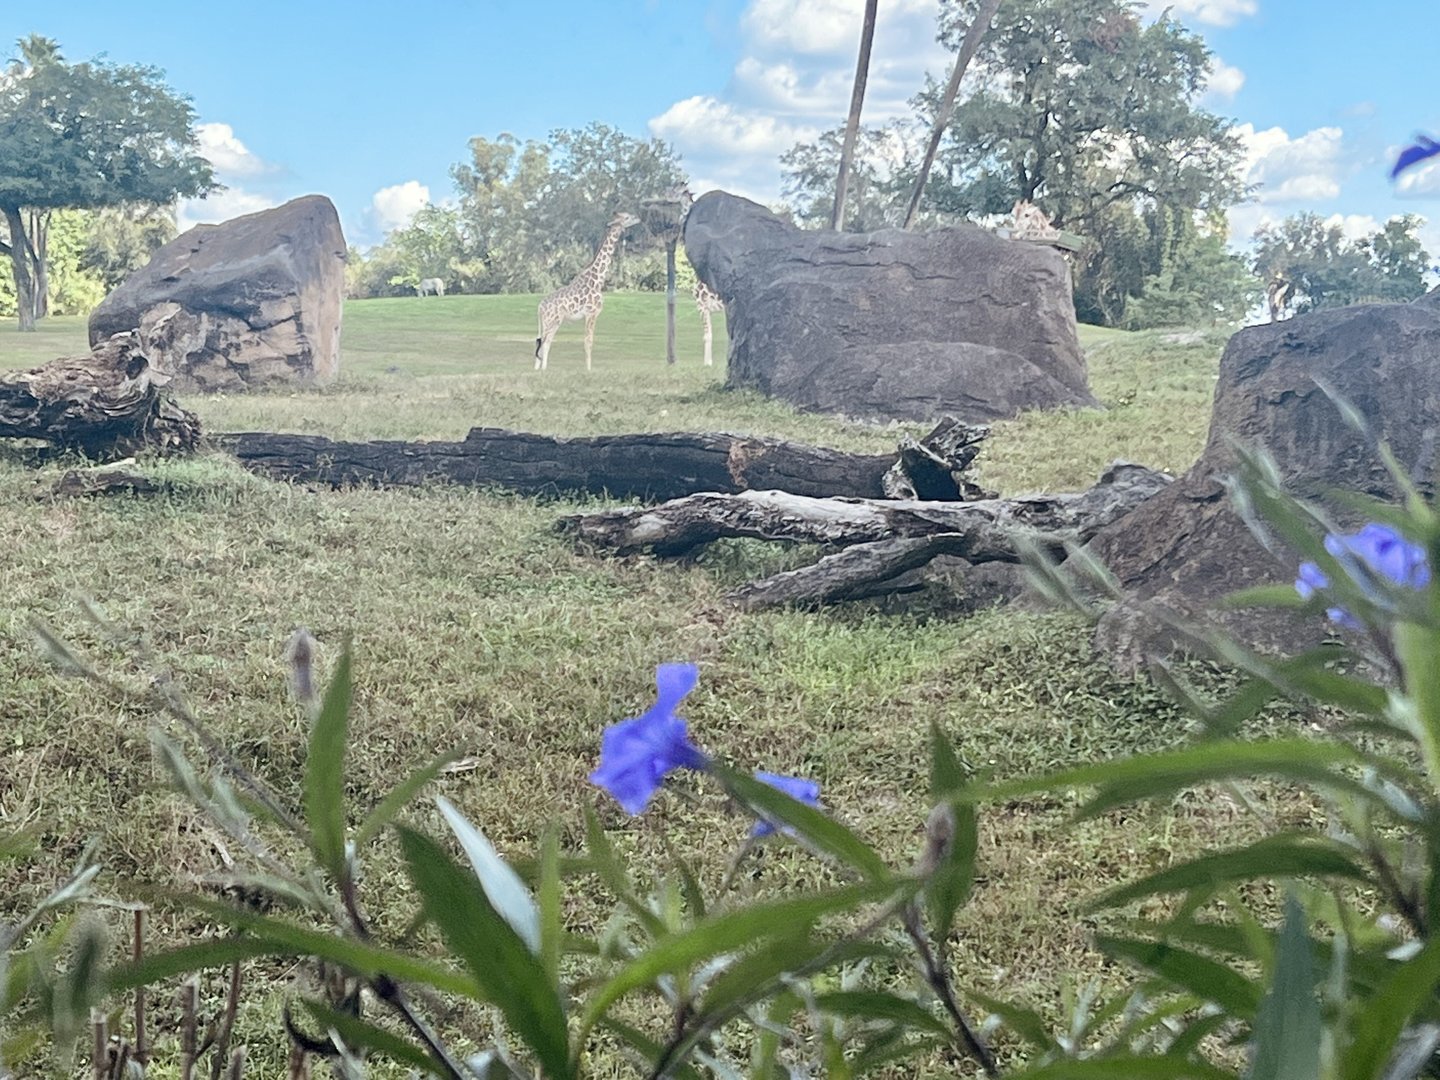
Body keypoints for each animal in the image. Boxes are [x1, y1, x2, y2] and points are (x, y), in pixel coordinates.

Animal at [534, 211, 641, 371]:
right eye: (627, 217)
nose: (638, 218)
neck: (598, 279)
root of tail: (540, 307)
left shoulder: (590, 314)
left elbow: (588, 341)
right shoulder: (592, 313)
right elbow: (588, 342)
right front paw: (589, 370)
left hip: (552, 321)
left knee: (544, 341)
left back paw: (540, 369)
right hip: (551, 320)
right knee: (543, 341)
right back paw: (540, 369)